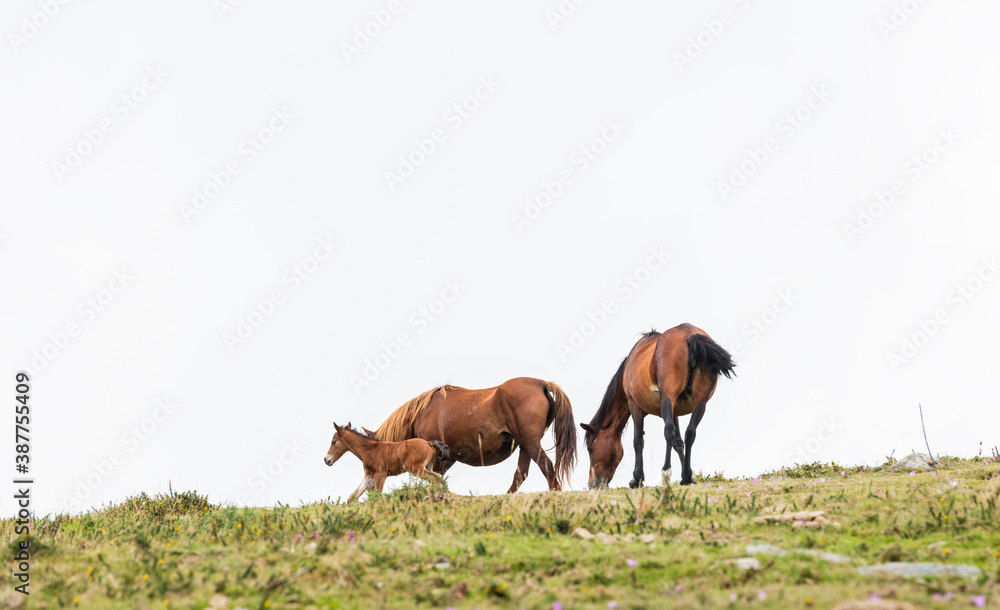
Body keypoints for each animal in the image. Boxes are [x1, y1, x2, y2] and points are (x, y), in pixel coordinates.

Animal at [362, 378, 577, 492]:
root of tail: (542, 384)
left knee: (547, 467)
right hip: (525, 445)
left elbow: (435, 479)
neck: (422, 413)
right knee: (521, 474)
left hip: (530, 443)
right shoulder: (447, 459)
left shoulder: (436, 458)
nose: (370, 485)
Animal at [580, 324, 735, 489]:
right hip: (700, 403)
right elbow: (678, 442)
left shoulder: (635, 407)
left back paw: (665, 473)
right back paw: (687, 476)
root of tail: (689, 334)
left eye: (590, 448)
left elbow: (638, 441)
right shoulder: (675, 411)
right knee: (690, 433)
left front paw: (637, 478)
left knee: (668, 431)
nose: (593, 484)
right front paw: (686, 477)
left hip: (668, 398)